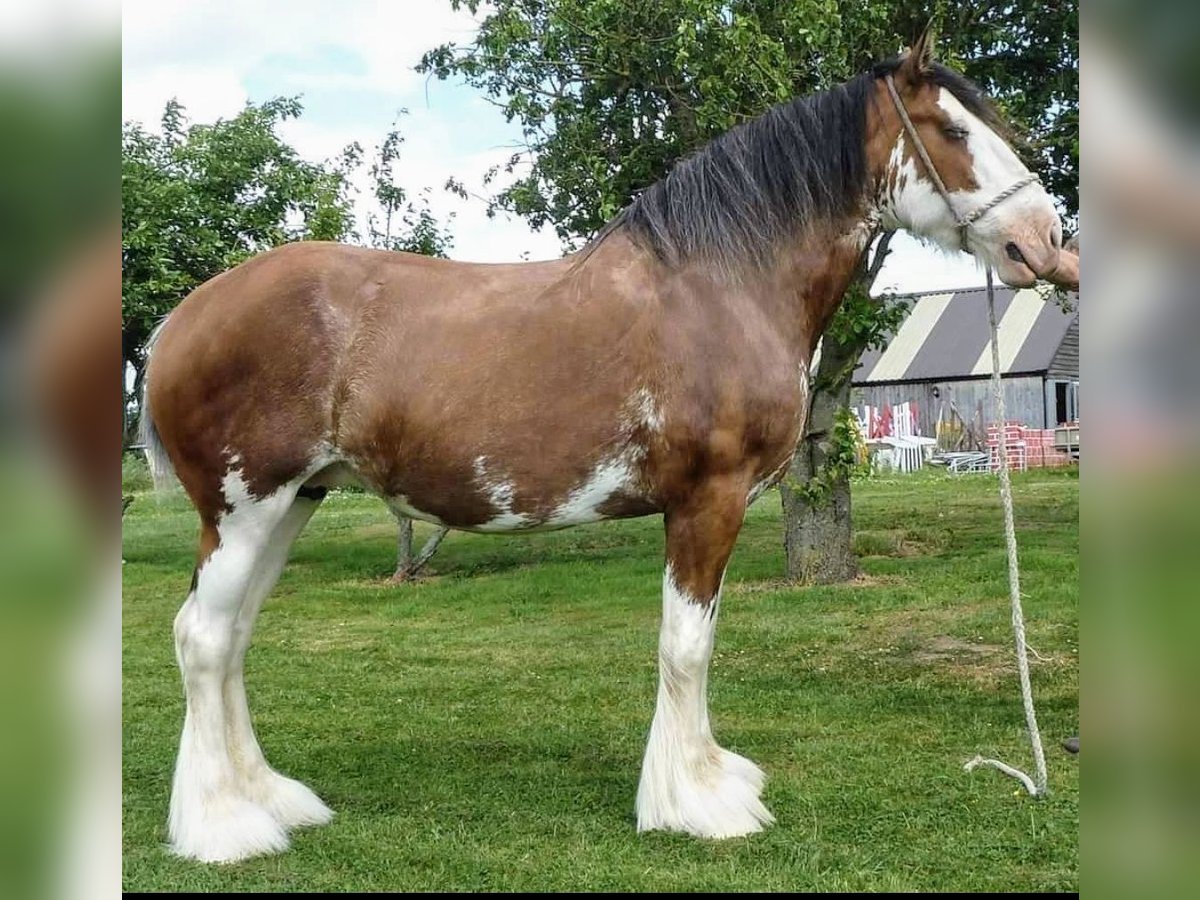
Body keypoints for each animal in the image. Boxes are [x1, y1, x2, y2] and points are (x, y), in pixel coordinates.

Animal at [138, 35, 1080, 868]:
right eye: (954, 131)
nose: (1046, 240)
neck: (723, 285)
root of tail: (182, 318)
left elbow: (700, 641)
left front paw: (709, 778)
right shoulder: (709, 499)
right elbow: (686, 646)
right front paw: (697, 806)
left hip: (294, 502)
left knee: (232, 635)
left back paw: (269, 799)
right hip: (245, 505)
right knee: (203, 638)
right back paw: (226, 829)